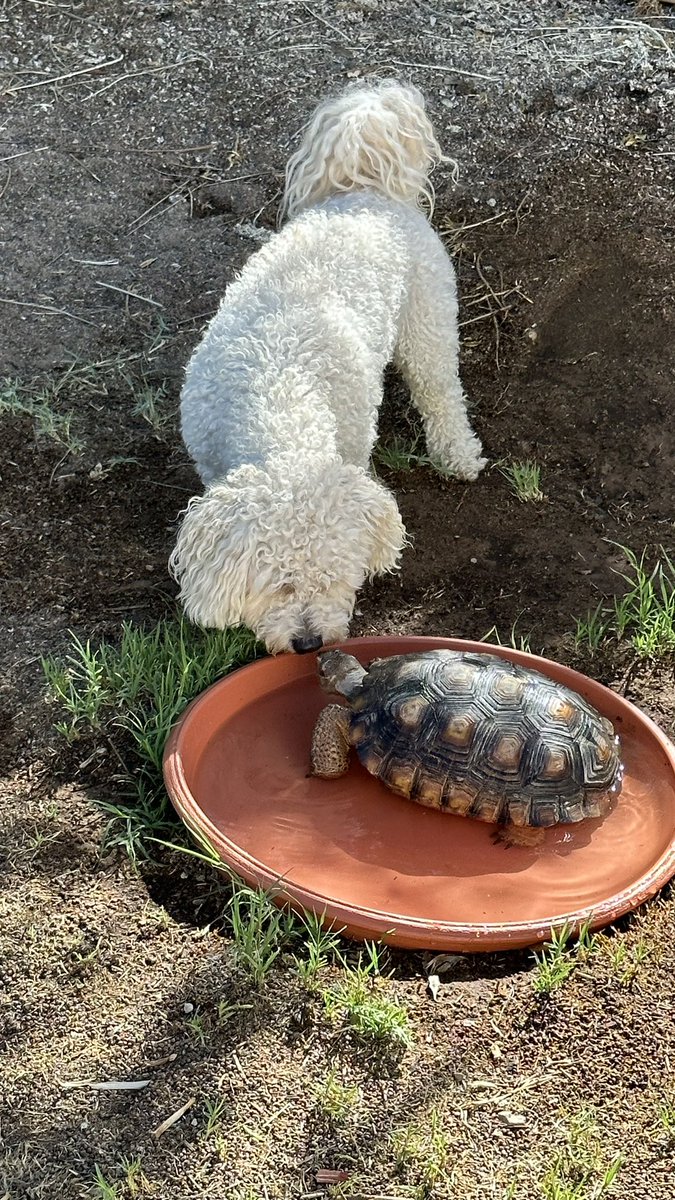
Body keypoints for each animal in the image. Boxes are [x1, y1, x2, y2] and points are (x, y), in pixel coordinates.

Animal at [169, 77, 482, 657]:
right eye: (279, 585)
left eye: (338, 578)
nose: (310, 642)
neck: (277, 389)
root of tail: (365, 192)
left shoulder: (352, 446)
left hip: (427, 319)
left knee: (440, 390)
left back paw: (458, 453)